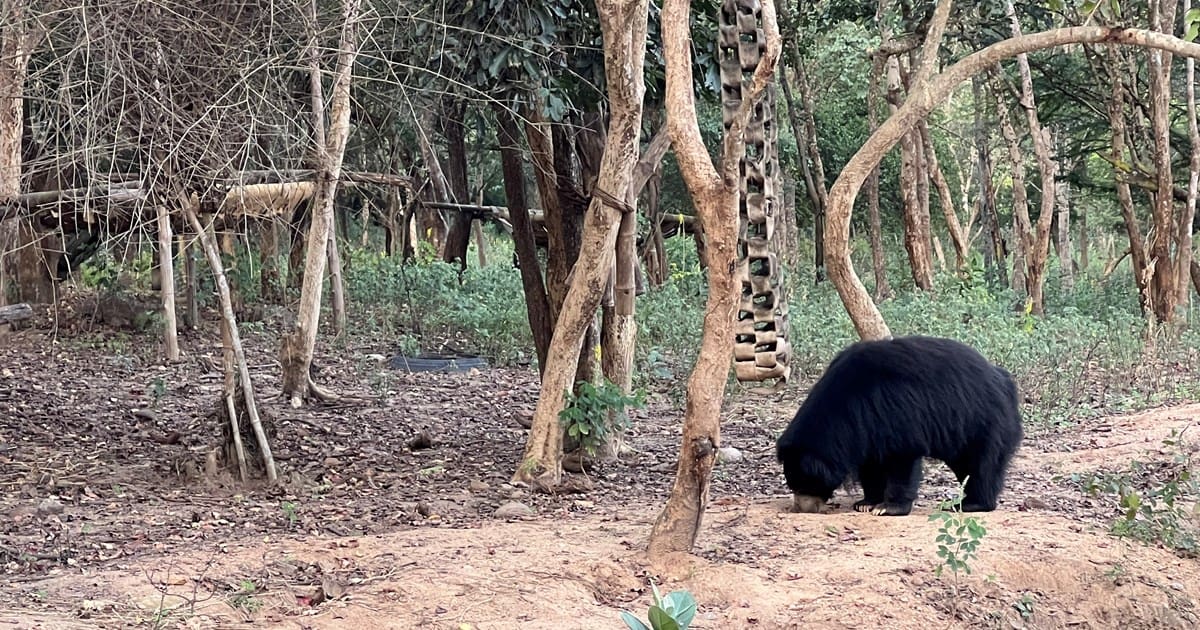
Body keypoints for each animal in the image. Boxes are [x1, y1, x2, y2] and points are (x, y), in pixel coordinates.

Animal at [775, 335, 1023, 516]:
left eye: (806, 483)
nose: (801, 507)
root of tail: (1004, 381)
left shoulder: (894, 411)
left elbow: (902, 458)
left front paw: (887, 508)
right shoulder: (865, 429)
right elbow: (871, 464)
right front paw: (866, 503)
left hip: (984, 421)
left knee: (982, 464)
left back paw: (970, 504)